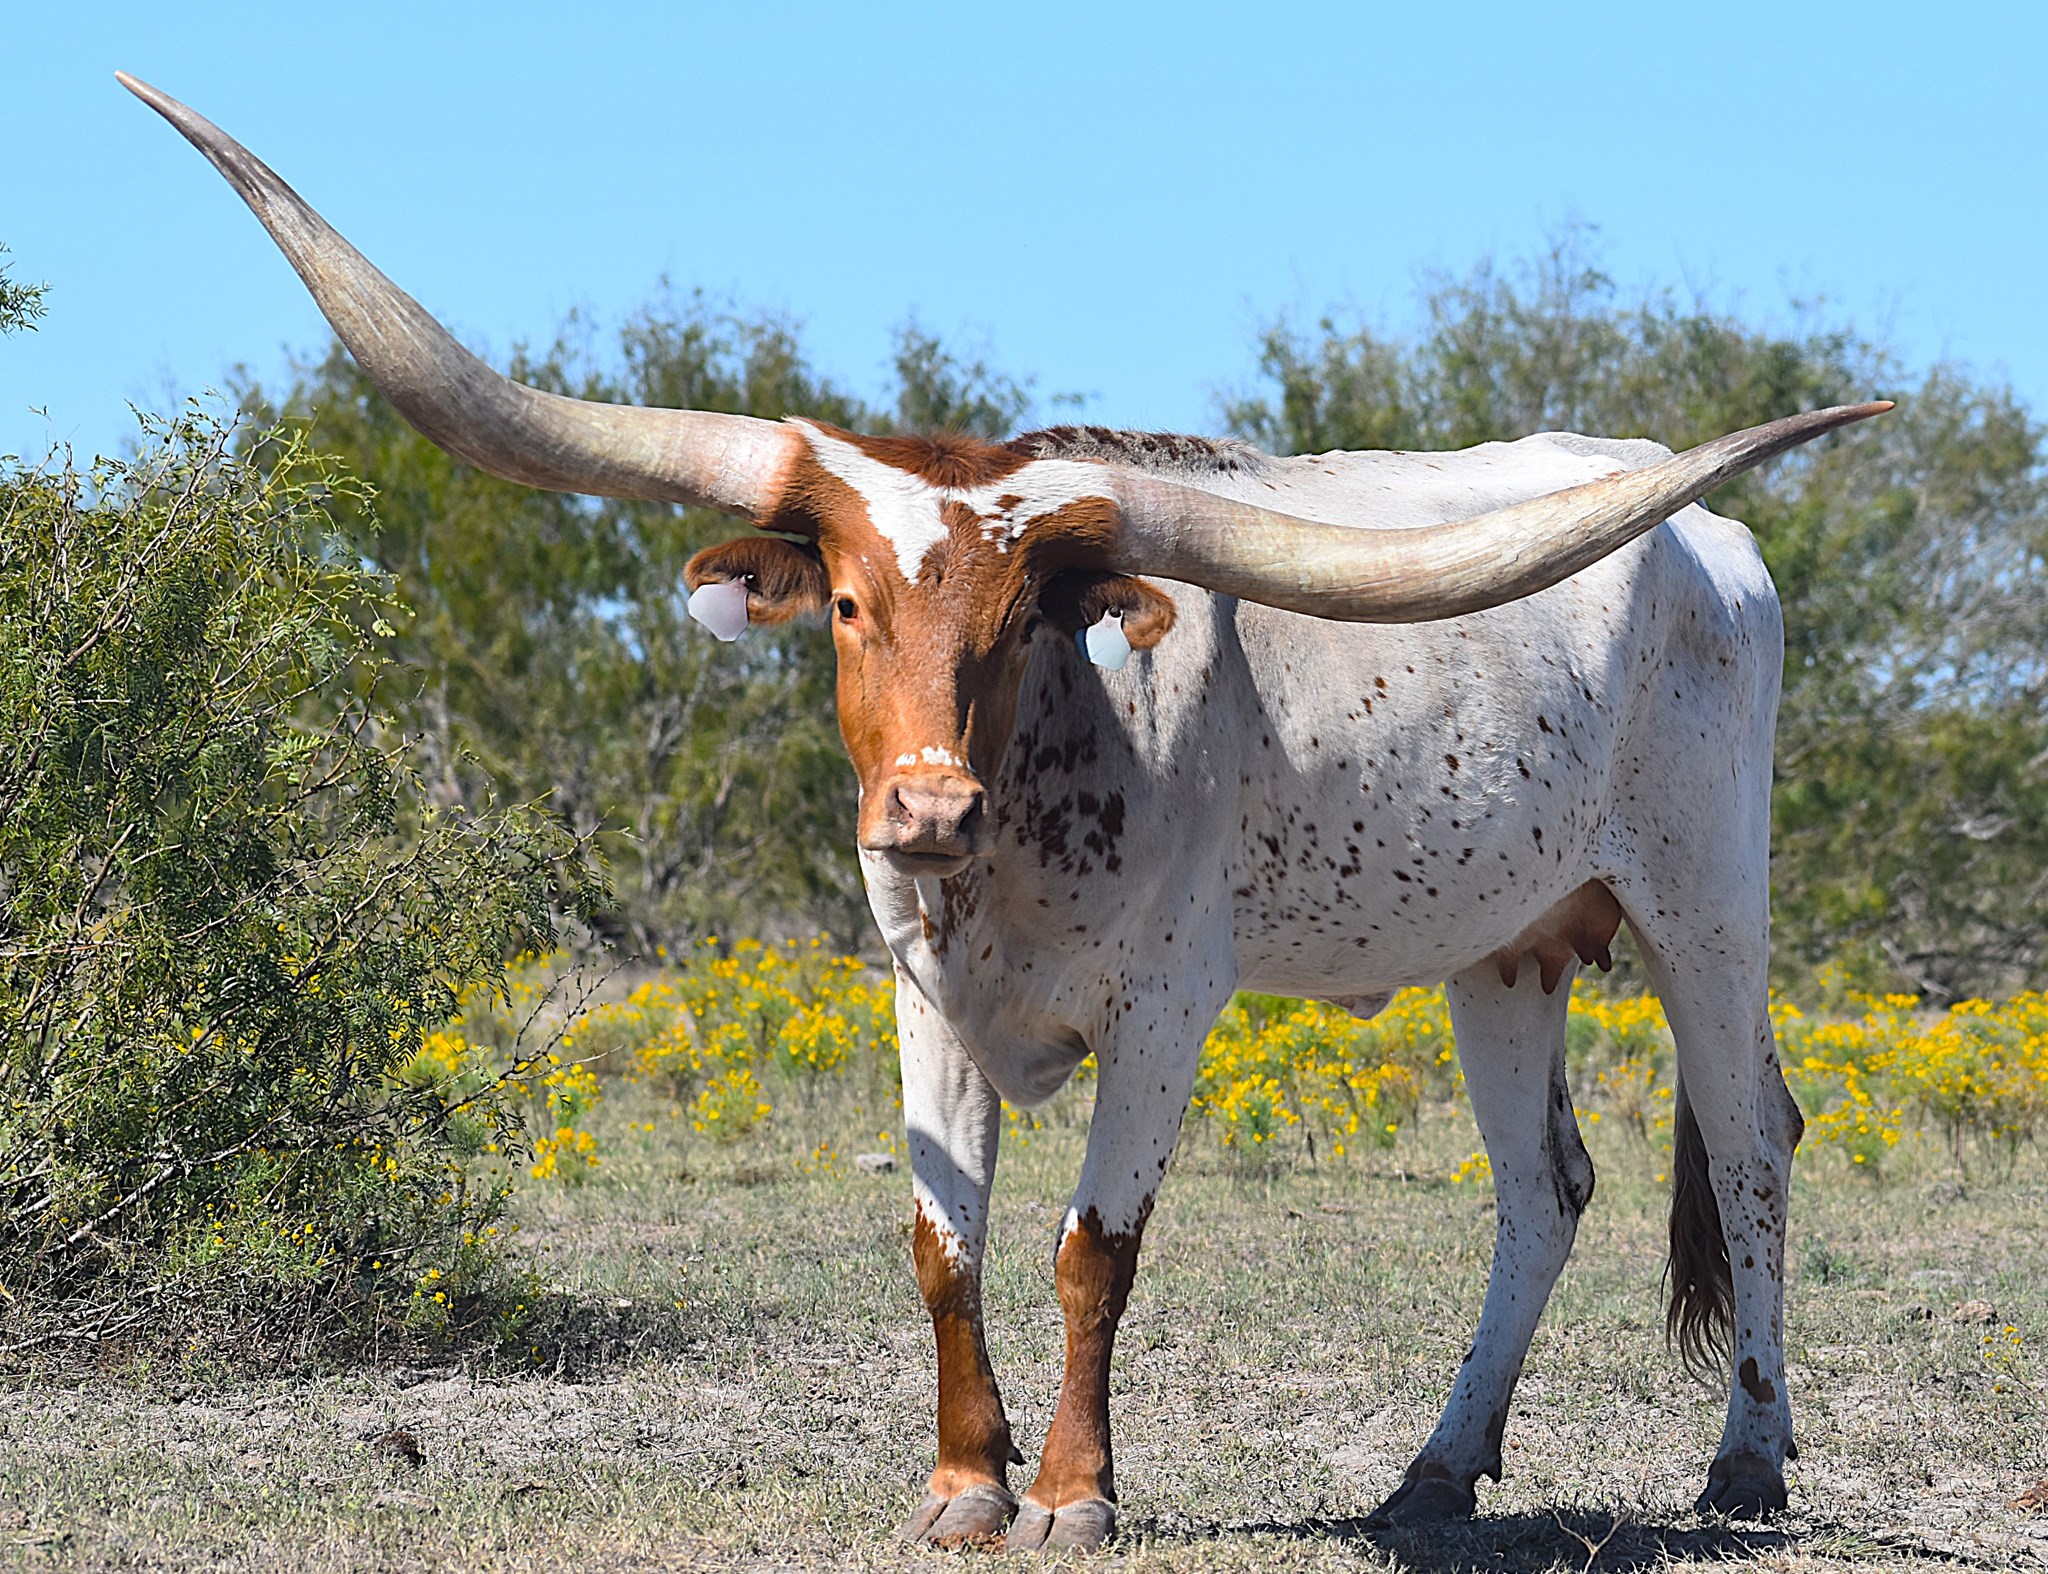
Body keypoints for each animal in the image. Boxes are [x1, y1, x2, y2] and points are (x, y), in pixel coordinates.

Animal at [124, 73, 1889, 1551]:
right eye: (845, 604)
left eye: (1024, 622)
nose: (927, 801)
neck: (1033, 821)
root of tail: (1712, 534)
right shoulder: (923, 991)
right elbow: (945, 1241)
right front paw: (964, 1481)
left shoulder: (1169, 1004)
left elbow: (1090, 1245)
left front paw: (1073, 1493)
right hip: (1504, 947)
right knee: (1544, 1189)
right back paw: (1438, 1468)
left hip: (1705, 902)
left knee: (1752, 1139)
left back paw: (1746, 1458)